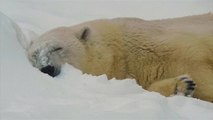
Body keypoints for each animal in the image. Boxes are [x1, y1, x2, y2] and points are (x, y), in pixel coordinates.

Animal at [27, 13, 213, 102]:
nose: (47, 68)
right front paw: (183, 85)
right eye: (34, 55)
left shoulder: (164, 44)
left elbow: (195, 62)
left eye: (58, 47)